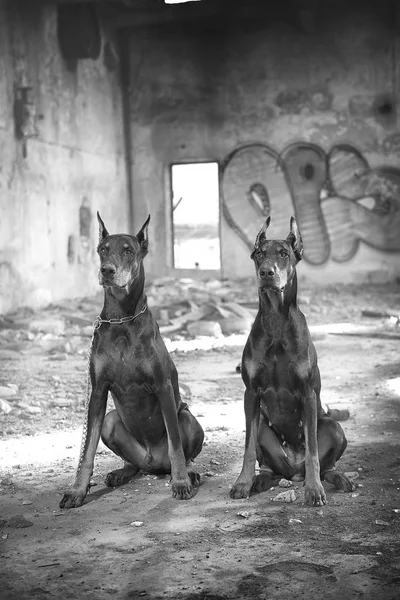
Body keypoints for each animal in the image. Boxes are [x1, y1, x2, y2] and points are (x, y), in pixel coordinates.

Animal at [60, 213, 203, 508]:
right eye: (103, 250)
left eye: (128, 251)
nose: (107, 271)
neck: (121, 319)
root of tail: (151, 463)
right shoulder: (98, 391)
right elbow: (87, 451)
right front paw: (77, 490)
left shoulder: (162, 387)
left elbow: (175, 445)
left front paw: (181, 482)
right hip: (112, 421)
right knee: (131, 461)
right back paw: (122, 472)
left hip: (188, 418)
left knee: (184, 450)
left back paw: (189, 473)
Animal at [230, 217, 354, 506]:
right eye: (259, 254)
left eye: (284, 254)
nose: (266, 273)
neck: (276, 319)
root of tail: (293, 472)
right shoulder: (251, 393)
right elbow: (248, 448)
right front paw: (242, 483)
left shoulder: (307, 392)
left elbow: (312, 452)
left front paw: (314, 490)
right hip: (264, 430)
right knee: (269, 465)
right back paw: (260, 480)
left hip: (333, 426)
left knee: (324, 463)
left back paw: (335, 478)